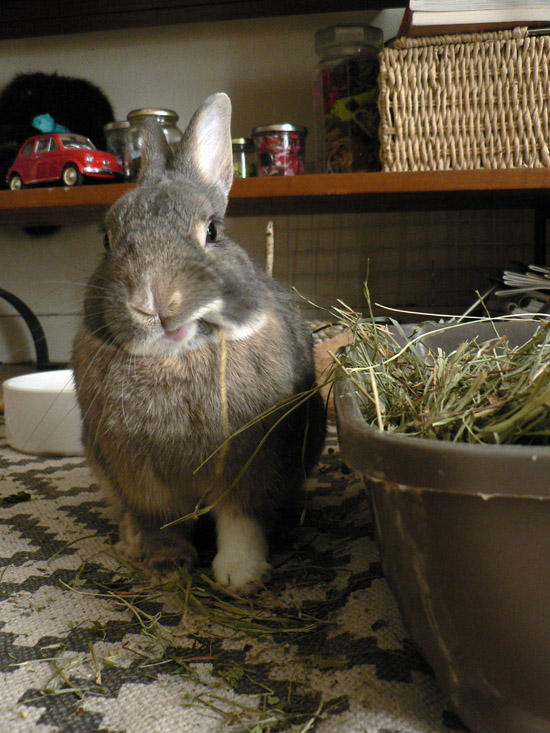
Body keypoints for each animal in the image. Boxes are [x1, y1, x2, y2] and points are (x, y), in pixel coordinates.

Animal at [71, 93, 326, 596]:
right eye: (107, 239)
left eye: (212, 231)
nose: (155, 301)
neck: (172, 359)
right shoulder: (143, 482)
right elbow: (161, 524)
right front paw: (166, 567)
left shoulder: (249, 470)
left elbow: (240, 521)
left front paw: (240, 576)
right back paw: (129, 543)